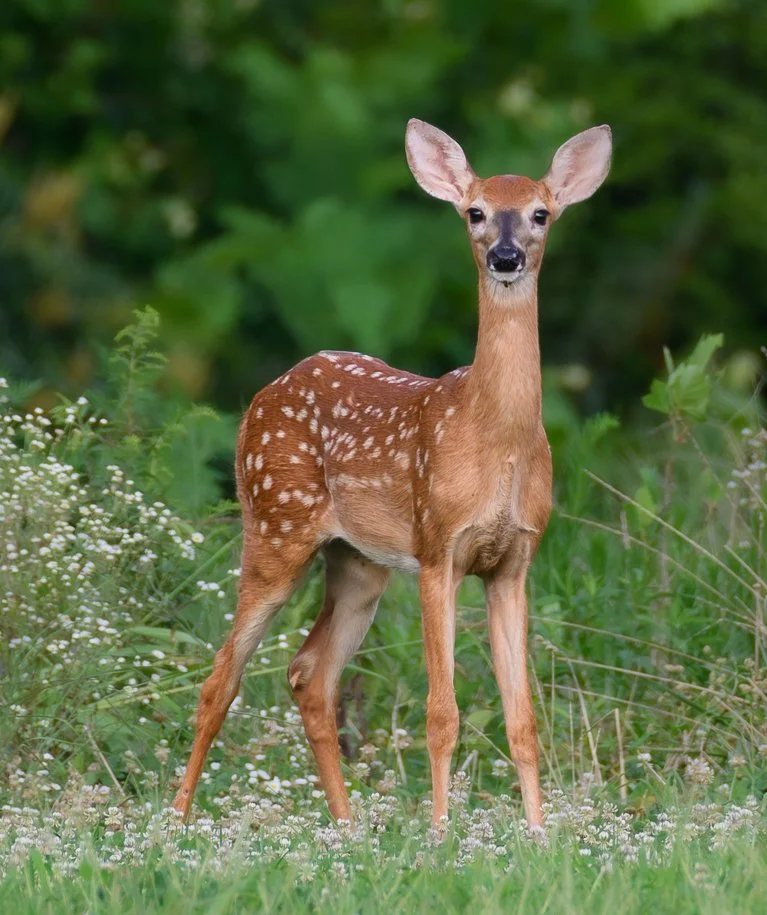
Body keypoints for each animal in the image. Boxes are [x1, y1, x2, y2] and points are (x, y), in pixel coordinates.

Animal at [172, 118, 612, 830]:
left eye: (540, 213)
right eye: (475, 211)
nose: (506, 257)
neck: (496, 440)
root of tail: (260, 398)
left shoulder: (514, 561)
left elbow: (523, 721)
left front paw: (540, 834)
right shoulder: (438, 548)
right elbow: (442, 714)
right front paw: (440, 833)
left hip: (358, 563)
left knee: (308, 673)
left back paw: (347, 829)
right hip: (275, 524)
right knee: (222, 674)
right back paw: (176, 821)